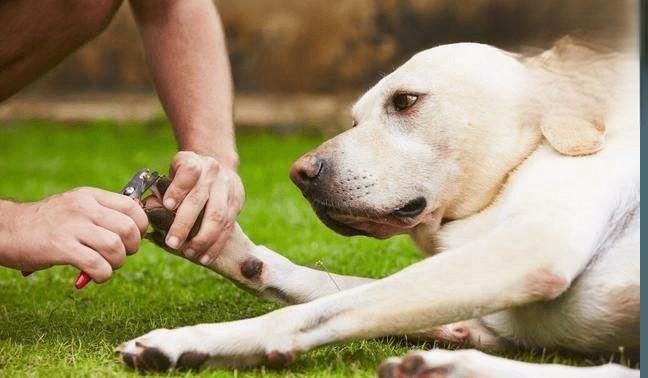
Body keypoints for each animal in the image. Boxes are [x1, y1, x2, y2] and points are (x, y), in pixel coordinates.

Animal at [115, 37, 636, 376]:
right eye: (353, 120)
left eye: (404, 101)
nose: (300, 173)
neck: (515, 167)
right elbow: (318, 287)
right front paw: (224, 243)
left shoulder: (530, 251)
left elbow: (316, 311)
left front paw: (192, 339)